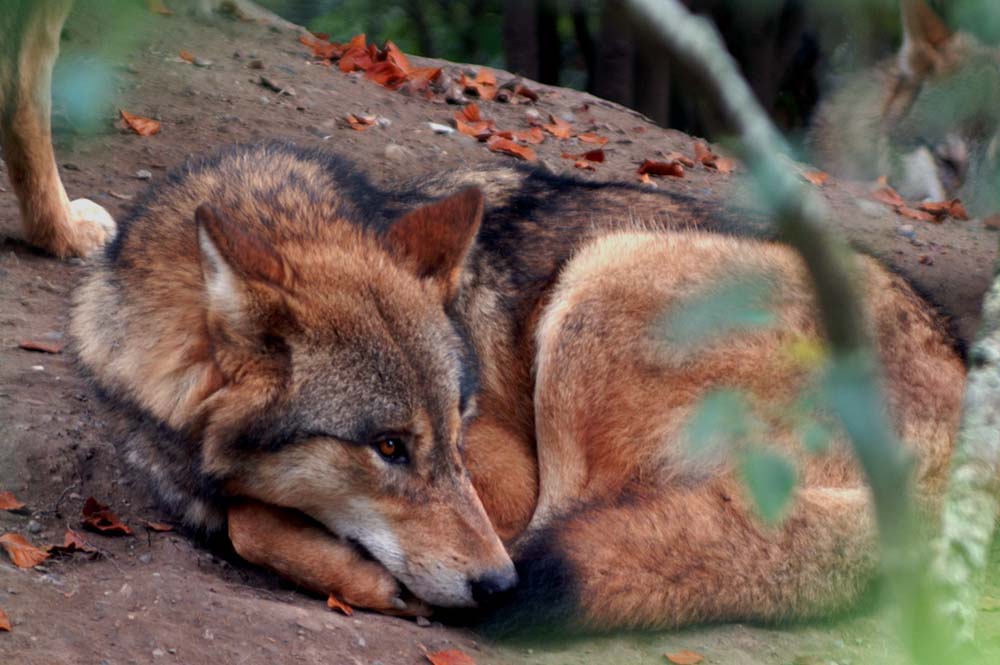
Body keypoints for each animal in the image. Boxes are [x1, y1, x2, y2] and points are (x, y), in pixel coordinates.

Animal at [0, 0, 976, 632]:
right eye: (389, 446)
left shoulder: (507, 477)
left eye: (455, 431)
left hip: (602, 285)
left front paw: (364, 575)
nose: (495, 585)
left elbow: (251, 517)